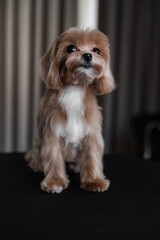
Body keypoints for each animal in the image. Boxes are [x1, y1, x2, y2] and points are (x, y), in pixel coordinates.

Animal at [25, 27, 115, 193]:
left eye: (96, 50)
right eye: (71, 48)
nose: (87, 55)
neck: (75, 88)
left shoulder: (91, 133)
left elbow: (92, 156)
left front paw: (94, 181)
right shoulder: (52, 131)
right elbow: (53, 157)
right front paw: (55, 181)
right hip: (38, 141)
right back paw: (38, 164)